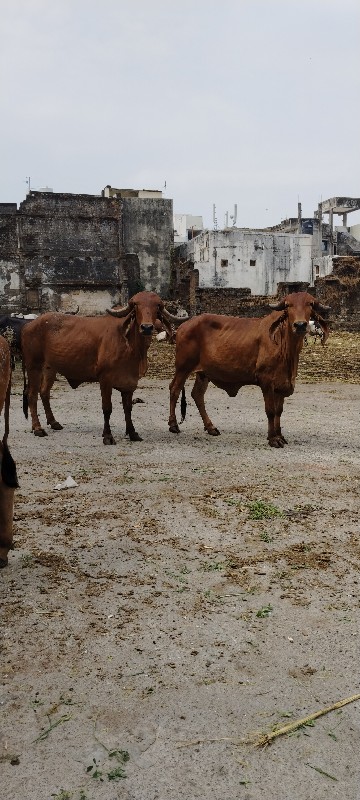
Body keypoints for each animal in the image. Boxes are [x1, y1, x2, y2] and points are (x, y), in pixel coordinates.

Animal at [21, 292, 180, 444]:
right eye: (136, 305)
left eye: (157, 306)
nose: (147, 327)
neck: (131, 347)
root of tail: (28, 325)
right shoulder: (105, 380)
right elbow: (107, 408)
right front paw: (108, 436)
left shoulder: (129, 384)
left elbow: (128, 409)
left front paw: (132, 433)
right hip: (34, 366)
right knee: (32, 395)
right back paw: (37, 428)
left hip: (50, 369)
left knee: (44, 392)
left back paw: (53, 422)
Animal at [167, 290, 330, 446]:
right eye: (288, 305)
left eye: (310, 304)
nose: (300, 325)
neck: (286, 347)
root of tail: (183, 326)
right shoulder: (266, 381)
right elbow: (271, 411)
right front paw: (273, 439)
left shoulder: (282, 383)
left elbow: (279, 411)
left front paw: (280, 435)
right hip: (183, 367)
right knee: (174, 389)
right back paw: (173, 424)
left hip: (203, 373)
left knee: (197, 395)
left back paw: (210, 427)